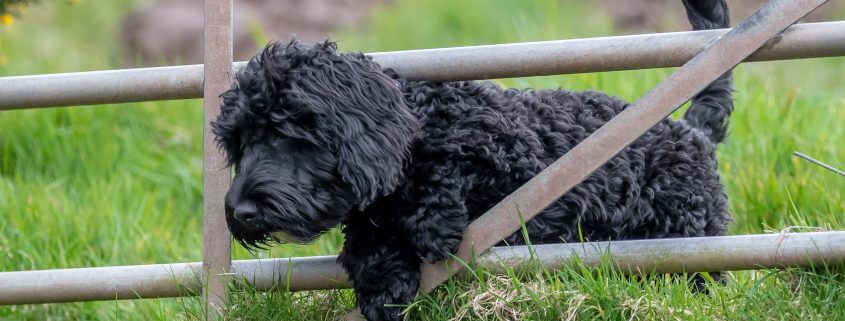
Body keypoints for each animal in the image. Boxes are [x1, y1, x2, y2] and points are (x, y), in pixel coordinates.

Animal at [213, 1, 732, 318]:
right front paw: (383, 281)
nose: (241, 212)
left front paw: (432, 222)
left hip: (690, 241)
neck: (418, 114)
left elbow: (450, 159)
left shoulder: (509, 154)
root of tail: (693, 132)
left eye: (285, 134)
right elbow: (366, 241)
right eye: (238, 145)